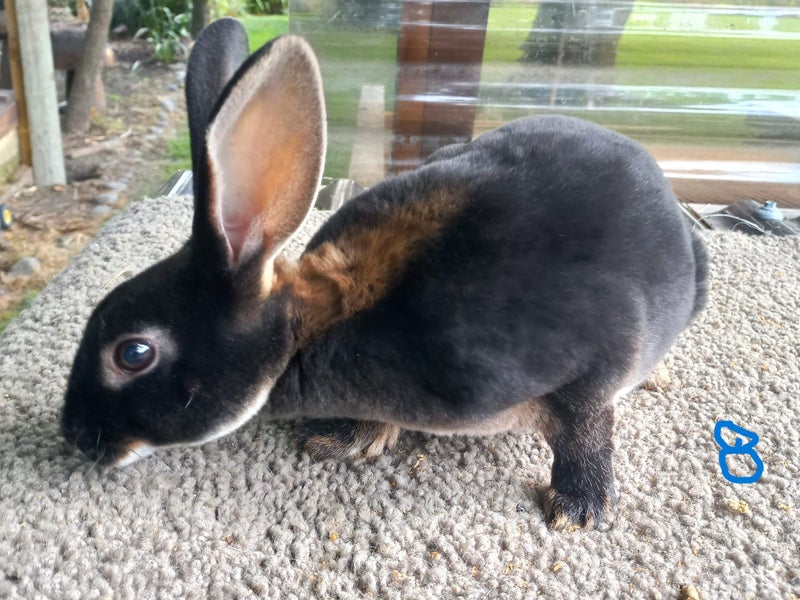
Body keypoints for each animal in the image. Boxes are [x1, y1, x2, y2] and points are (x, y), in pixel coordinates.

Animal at [62, 17, 708, 530]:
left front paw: (579, 510)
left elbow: (587, 430)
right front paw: (345, 438)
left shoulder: (589, 366)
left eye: (133, 354)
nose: (72, 434)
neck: (317, 325)